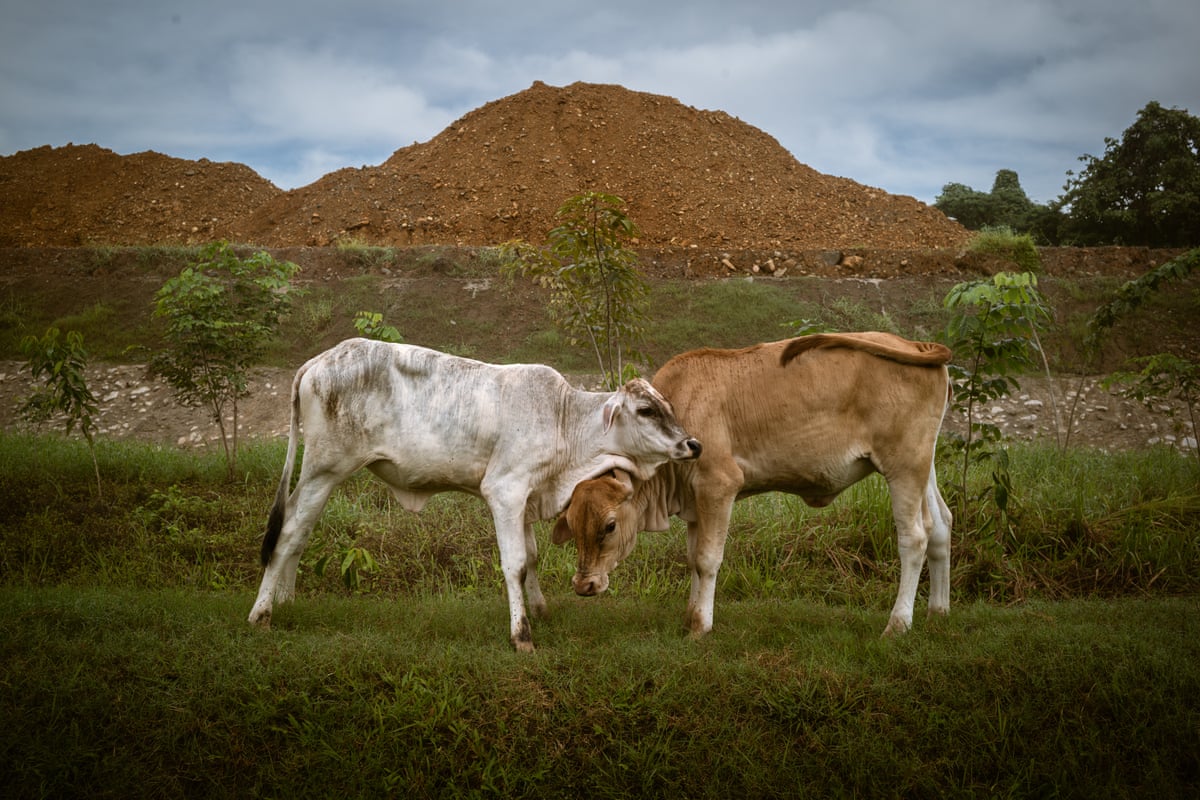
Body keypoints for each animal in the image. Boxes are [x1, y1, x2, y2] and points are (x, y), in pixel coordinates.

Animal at [248, 338, 701, 651]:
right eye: (646, 410)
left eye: (666, 405)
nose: (692, 444)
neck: (563, 420)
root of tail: (319, 360)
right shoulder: (505, 491)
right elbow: (515, 564)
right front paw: (522, 635)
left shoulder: (526, 500)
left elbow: (531, 558)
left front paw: (540, 611)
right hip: (323, 470)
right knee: (287, 534)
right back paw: (262, 614)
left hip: (318, 478)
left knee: (299, 533)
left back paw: (285, 602)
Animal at [551, 332, 953, 638]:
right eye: (572, 524)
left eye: (609, 526)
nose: (583, 585)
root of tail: (912, 343)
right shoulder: (696, 503)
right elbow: (693, 559)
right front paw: (691, 615)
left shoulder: (718, 485)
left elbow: (707, 560)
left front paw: (700, 626)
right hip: (924, 465)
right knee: (941, 526)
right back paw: (937, 613)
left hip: (903, 465)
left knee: (914, 538)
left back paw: (898, 624)